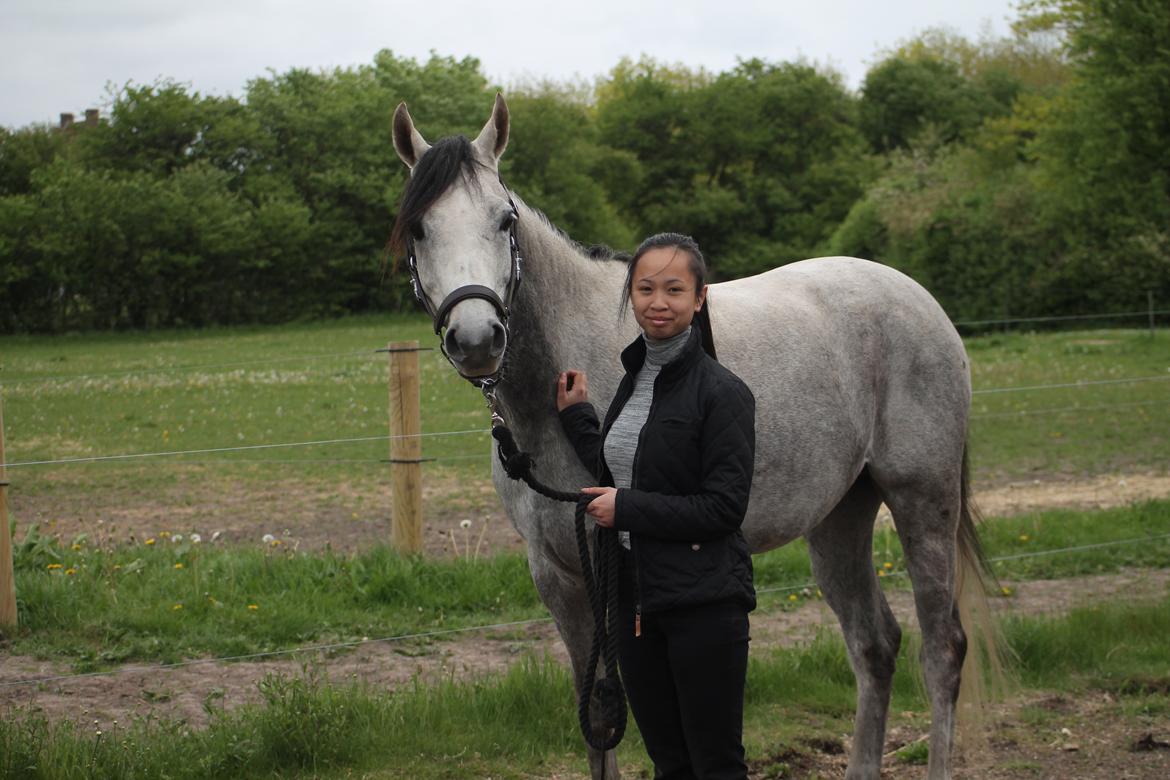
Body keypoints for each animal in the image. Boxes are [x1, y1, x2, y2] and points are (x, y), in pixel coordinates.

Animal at [390, 95, 996, 780]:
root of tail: (918, 299)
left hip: (923, 500)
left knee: (942, 649)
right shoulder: (558, 577)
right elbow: (596, 718)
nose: (476, 339)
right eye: (418, 228)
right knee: (875, 643)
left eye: (504, 219)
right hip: (839, 516)